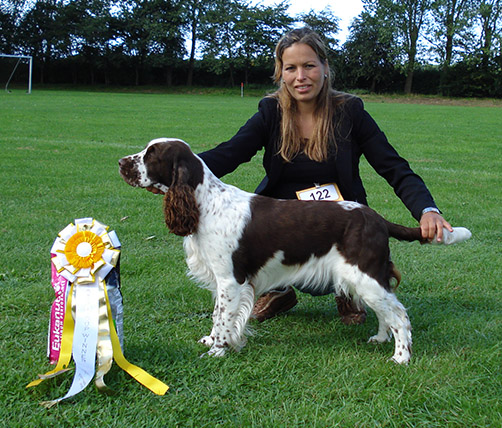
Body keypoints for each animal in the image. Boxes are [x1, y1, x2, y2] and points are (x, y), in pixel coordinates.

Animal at [119, 138, 472, 364]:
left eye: (151, 154)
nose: (121, 163)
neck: (205, 202)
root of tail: (377, 218)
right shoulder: (225, 280)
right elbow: (219, 316)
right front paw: (213, 341)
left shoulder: (231, 280)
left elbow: (223, 317)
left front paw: (217, 350)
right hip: (365, 278)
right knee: (389, 311)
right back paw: (381, 339)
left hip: (365, 274)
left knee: (399, 314)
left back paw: (400, 357)